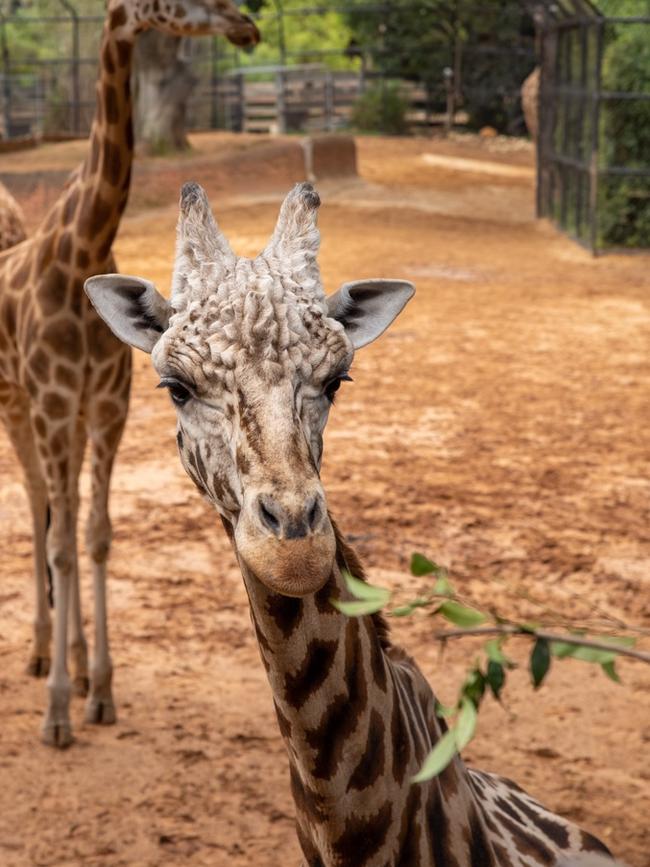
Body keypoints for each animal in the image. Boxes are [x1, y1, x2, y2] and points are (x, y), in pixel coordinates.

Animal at [0, 0, 258, 748]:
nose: (247, 24)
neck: (81, 244)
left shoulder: (107, 406)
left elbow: (97, 536)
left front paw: (100, 689)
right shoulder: (56, 400)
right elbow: (62, 541)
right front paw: (57, 710)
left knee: (57, 508)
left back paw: (67, 658)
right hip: (16, 400)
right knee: (35, 499)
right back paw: (42, 655)